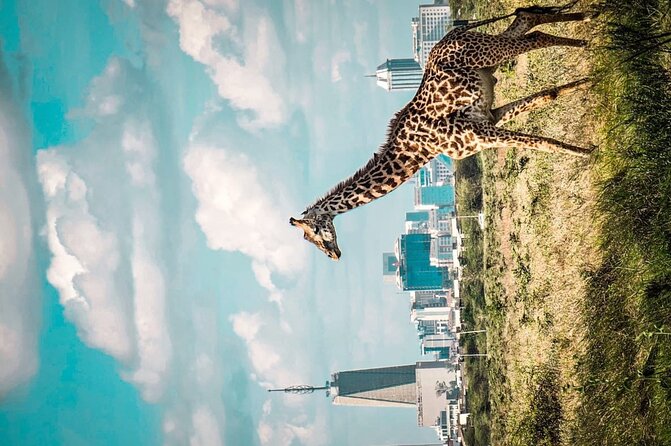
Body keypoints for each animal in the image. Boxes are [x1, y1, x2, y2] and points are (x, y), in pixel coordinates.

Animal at [291, 5, 593, 260]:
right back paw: (587, 19)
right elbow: (547, 97)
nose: (334, 254)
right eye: (308, 240)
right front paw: (585, 84)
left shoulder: (481, 132)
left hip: (489, 52)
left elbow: (540, 142)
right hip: (489, 53)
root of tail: (453, 34)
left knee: (535, 36)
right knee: (527, 19)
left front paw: (586, 151)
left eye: (314, 231)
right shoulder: (488, 120)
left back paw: (586, 36)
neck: (421, 149)